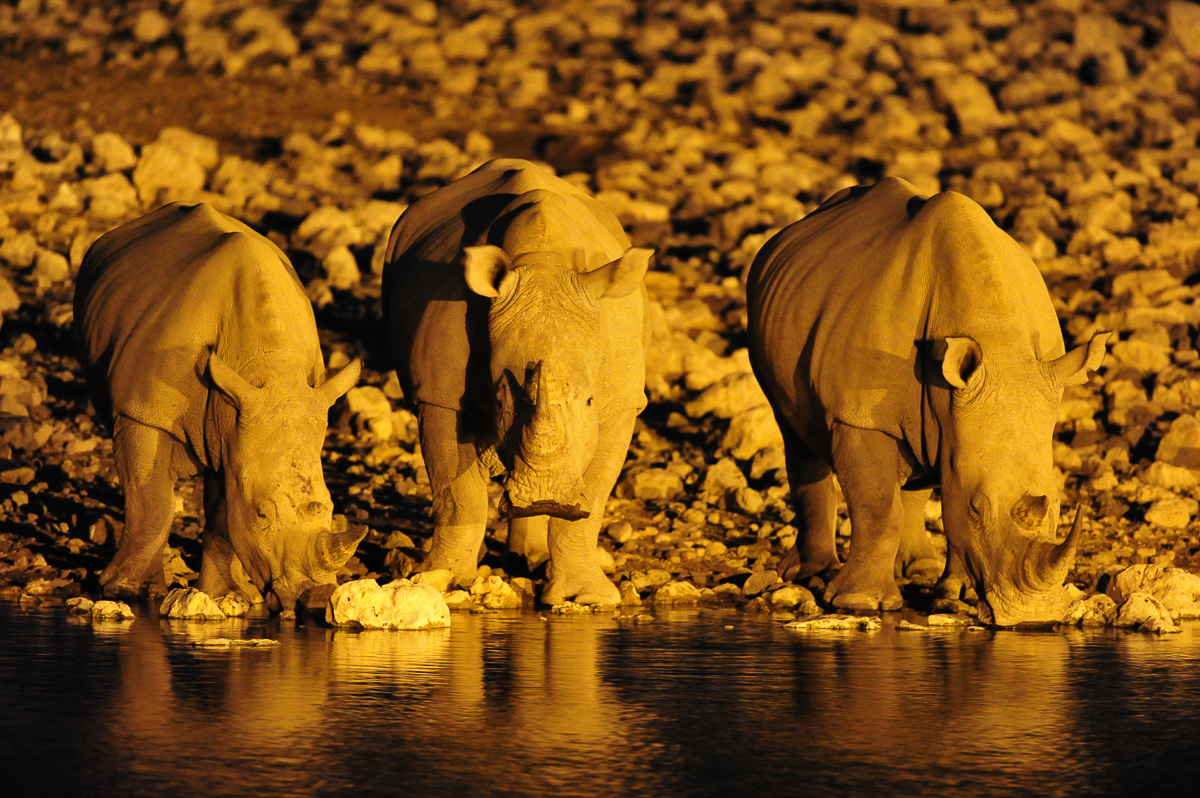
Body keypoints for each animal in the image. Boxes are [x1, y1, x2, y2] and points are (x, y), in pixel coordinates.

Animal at [74, 202, 365, 610]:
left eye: (330, 508)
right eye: (262, 514)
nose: (317, 596)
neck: (269, 370)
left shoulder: (238, 419)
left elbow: (223, 515)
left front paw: (221, 597)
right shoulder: (143, 411)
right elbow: (152, 505)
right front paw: (125, 592)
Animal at [382, 158, 650, 605]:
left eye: (590, 401)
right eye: (501, 401)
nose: (546, 496)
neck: (543, 261)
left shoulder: (621, 400)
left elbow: (593, 499)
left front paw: (587, 597)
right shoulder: (439, 395)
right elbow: (458, 496)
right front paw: (443, 581)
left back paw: (532, 556)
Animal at [746, 177, 1109, 626]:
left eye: (1059, 505)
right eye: (976, 508)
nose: (1032, 616)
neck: (996, 339)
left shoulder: (957, 412)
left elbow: (942, 491)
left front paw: (954, 595)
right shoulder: (860, 415)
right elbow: (877, 508)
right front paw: (859, 602)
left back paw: (920, 569)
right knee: (792, 429)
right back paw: (811, 572)